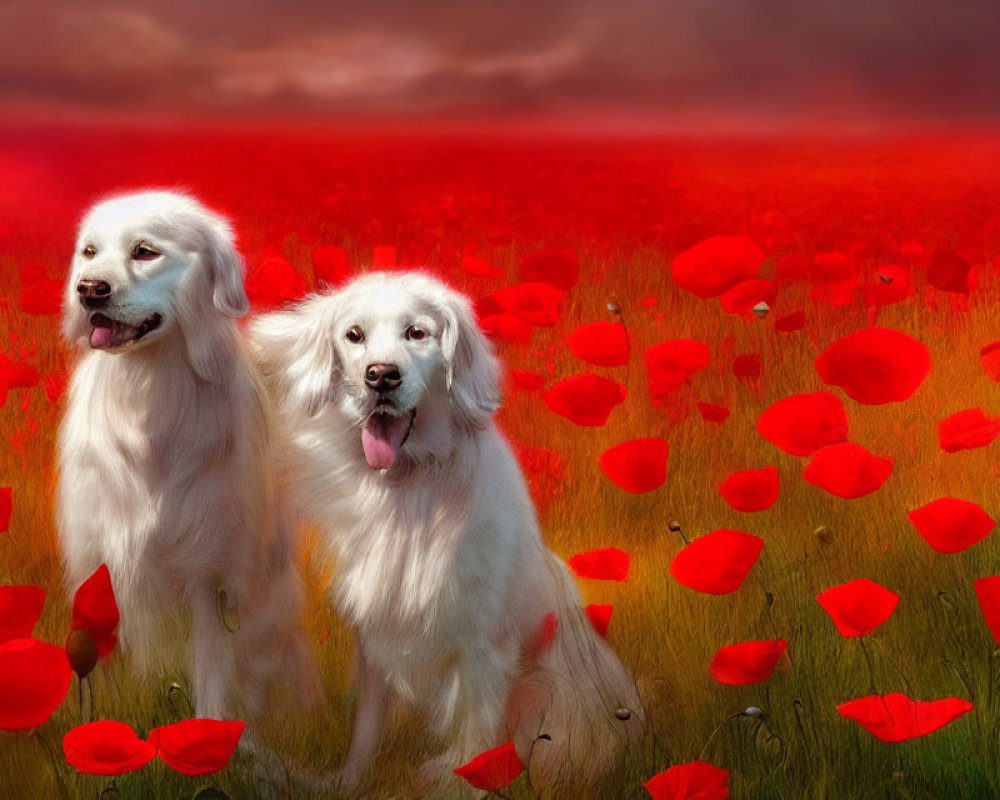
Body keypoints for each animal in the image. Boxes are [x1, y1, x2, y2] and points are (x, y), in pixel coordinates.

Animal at [56, 192, 320, 720]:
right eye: (90, 252)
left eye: (144, 251)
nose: (88, 290)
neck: (149, 386)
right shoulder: (97, 567)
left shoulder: (210, 579)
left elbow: (214, 681)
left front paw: (212, 738)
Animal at [248, 272, 640, 792]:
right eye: (354, 335)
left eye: (417, 333)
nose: (381, 376)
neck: (407, 485)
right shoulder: (377, 635)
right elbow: (366, 731)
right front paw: (347, 784)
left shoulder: (482, 647)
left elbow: (477, 744)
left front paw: (461, 786)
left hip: (547, 690)